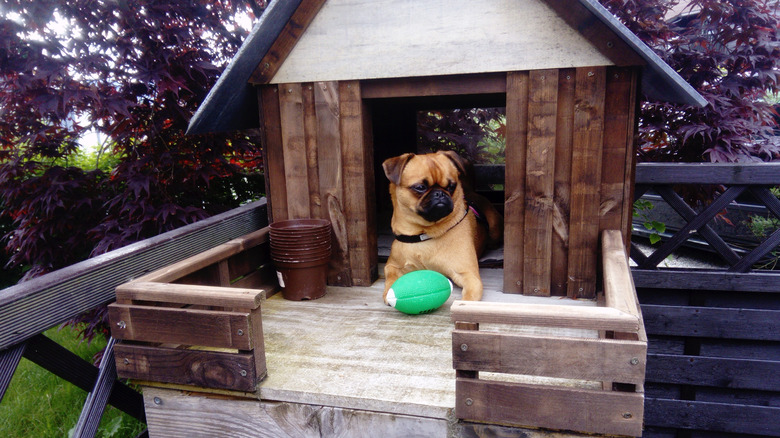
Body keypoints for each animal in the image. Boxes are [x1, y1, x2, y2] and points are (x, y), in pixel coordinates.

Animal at [380, 150, 502, 302]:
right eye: (420, 187)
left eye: (451, 186)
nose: (439, 193)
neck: (424, 233)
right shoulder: (392, 265)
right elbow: (391, 276)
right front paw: (389, 291)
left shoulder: (469, 275)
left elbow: (468, 298)